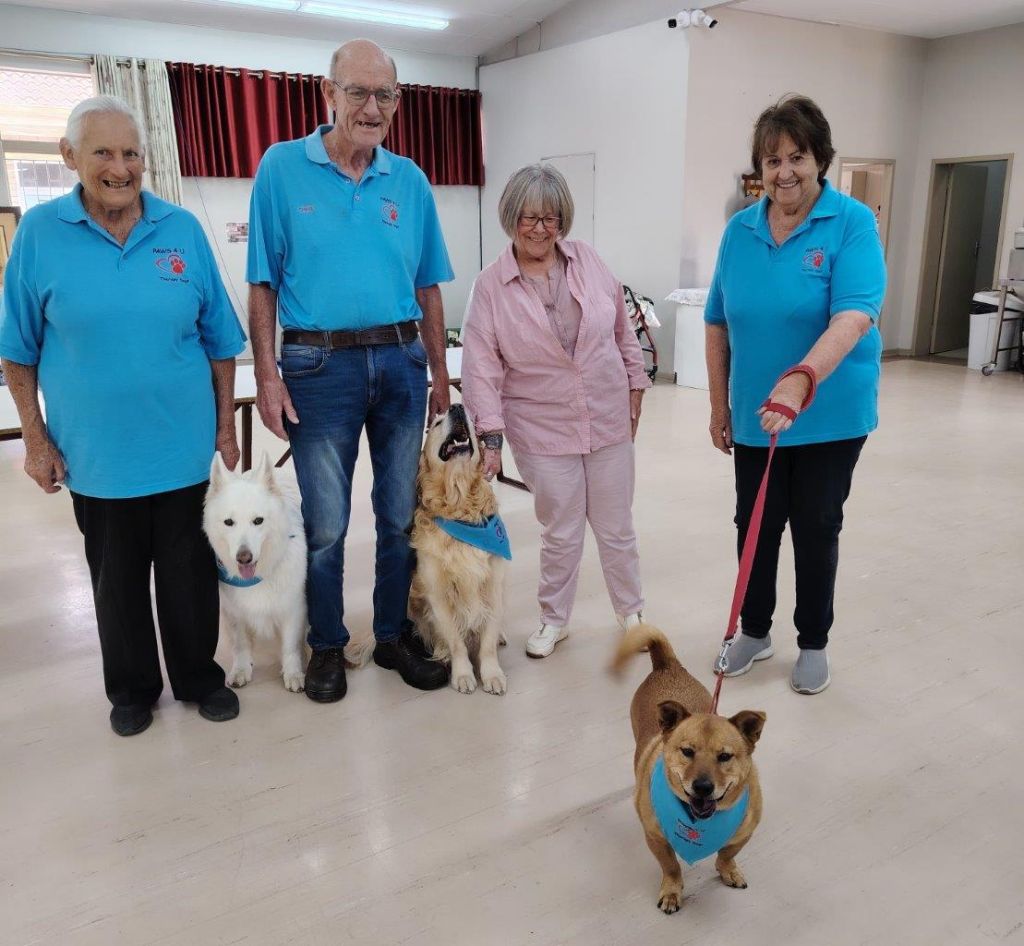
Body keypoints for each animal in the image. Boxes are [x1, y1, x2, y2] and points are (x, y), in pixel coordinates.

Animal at [203, 452, 307, 692]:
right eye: (229, 522)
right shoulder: (234, 613)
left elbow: (291, 646)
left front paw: (293, 673)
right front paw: (241, 670)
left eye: (258, 521)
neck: (259, 575)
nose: (244, 557)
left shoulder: (294, 608)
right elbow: (241, 644)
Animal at [409, 403, 509, 695]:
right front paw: (463, 674)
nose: (457, 406)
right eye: (436, 422)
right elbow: (456, 641)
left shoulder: (493, 586)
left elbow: (487, 641)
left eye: (472, 419)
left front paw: (492, 674)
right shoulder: (438, 594)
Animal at [612, 625, 766, 914]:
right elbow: (671, 866)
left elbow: (727, 854)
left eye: (725, 756)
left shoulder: (744, 834)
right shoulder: (656, 838)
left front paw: (728, 870)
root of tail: (666, 665)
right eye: (687, 752)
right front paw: (672, 891)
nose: (703, 787)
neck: (700, 821)